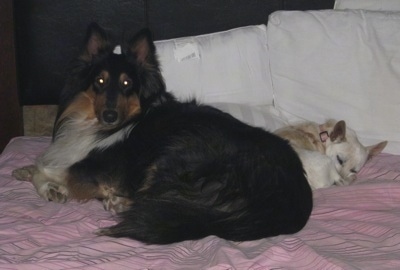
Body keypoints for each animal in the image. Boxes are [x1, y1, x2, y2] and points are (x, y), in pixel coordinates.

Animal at [12, 22, 312, 244]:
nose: (110, 116)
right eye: (99, 81)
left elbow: (46, 168)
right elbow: (43, 162)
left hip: (178, 154)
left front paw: (49, 186)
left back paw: (117, 203)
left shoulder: (98, 170)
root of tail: (287, 199)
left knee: (152, 200)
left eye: (127, 84)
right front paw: (23, 171)